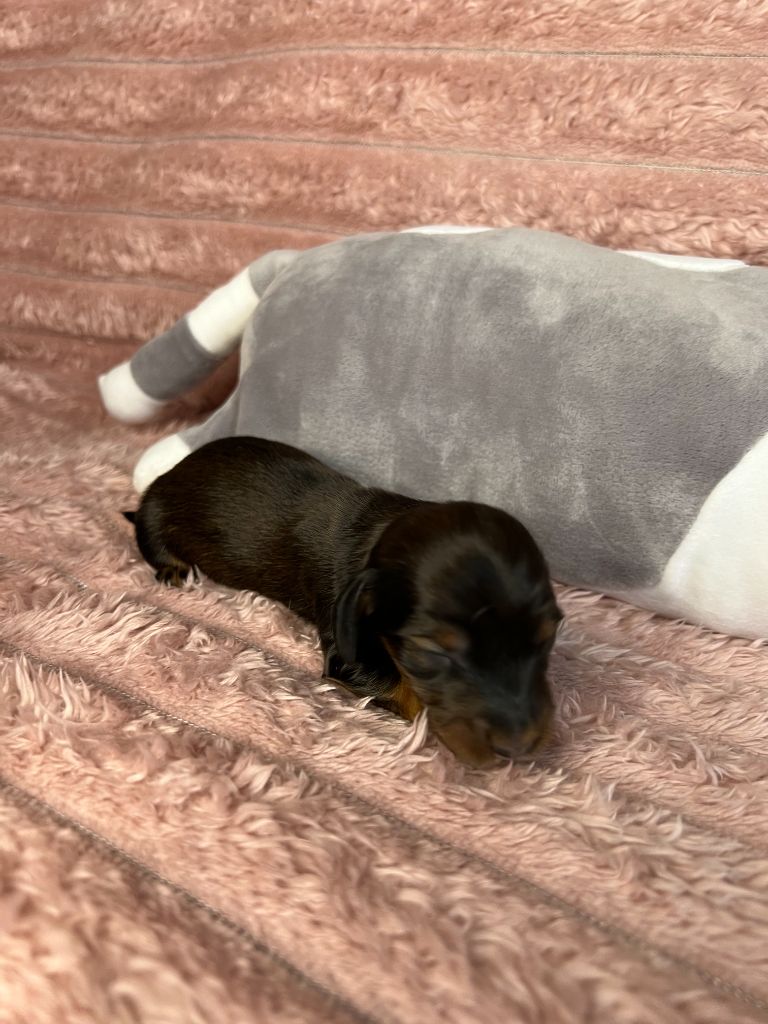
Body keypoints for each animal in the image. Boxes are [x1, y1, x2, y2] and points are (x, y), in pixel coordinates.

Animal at [124, 437, 561, 767]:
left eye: (548, 636)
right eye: (432, 651)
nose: (520, 748)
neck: (381, 533)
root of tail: (176, 469)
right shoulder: (347, 645)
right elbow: (402, 691)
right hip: (157, 512)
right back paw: (174, 569)